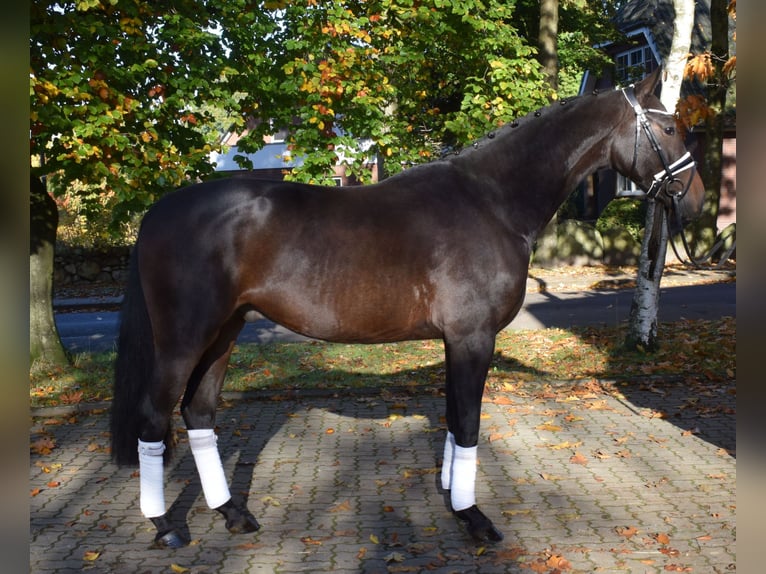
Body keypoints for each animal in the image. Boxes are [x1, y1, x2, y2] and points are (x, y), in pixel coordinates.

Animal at [111, 70, 704, 552]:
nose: (695, 200)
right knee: (154, 416)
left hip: (225, 331)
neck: (491, 202)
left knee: (199, 413)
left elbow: (453, 418)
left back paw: (232, 514)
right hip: (184, 339)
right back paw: (165, 527)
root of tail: (158, 210)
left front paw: (453, 498)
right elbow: (468, 423)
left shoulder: (457, 340)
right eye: (671, 129)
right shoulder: (472, 337)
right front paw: (474, 518)